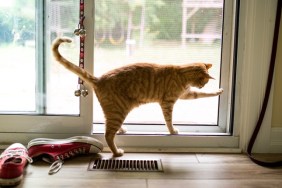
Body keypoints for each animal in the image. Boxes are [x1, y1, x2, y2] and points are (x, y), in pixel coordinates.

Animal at [52, 37, 225, 157]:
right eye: (203, 81)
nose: (203, 85)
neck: (182, 73)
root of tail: (99, 79)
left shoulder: (187, 94)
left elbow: (203, 95)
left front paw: (218, 91)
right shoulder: (168, 102)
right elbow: (169, 120)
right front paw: (172, 130)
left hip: (114, 111)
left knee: (108, 125)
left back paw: (121, 131)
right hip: (119, 111)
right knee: (108, 135)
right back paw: (117, 153)